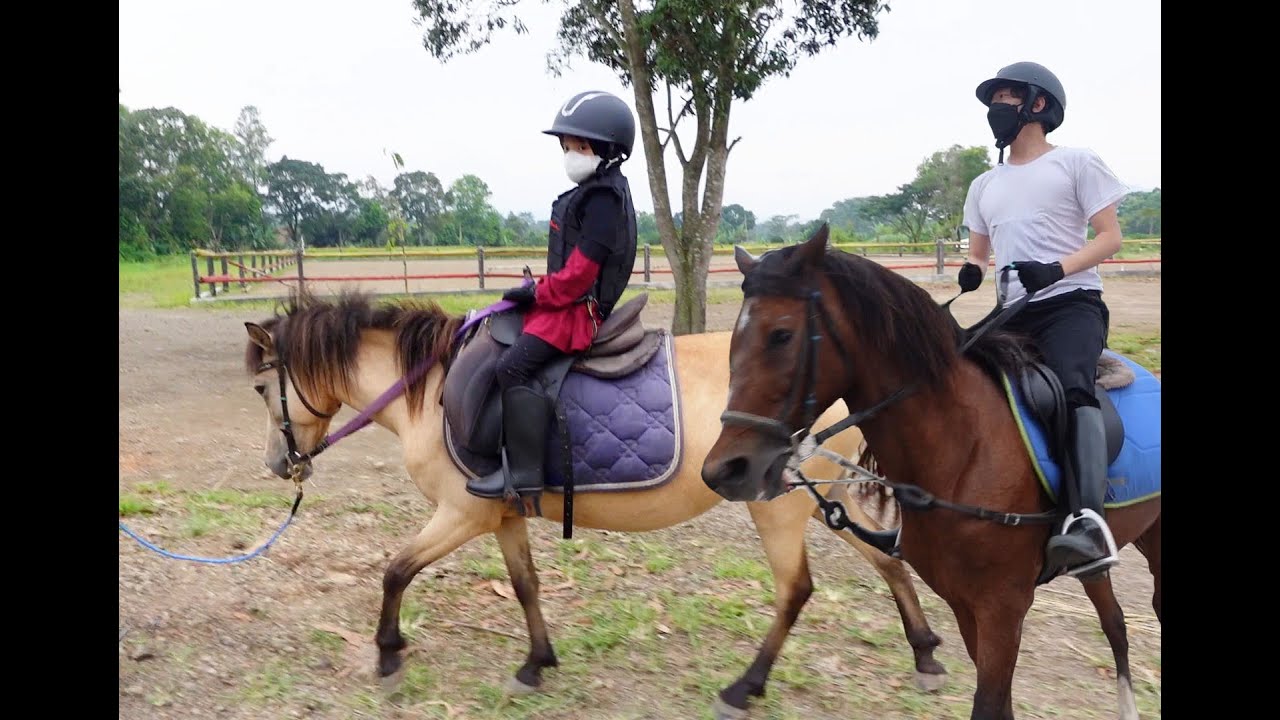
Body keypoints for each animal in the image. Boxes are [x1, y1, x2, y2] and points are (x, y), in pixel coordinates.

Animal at [240, 288, 950, 718]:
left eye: (261, 388)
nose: (278, 465)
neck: (434, 388)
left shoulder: (461, 514)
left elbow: (394, 571)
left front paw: (388, 654)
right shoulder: (501, 516)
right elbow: (525, 585)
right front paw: (535, 664)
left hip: (777, 508)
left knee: (796, 590)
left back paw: (744, 688)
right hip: (825, 501)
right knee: (890, 561)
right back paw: (924, 653)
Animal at [700, 224, 1161, 720]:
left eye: (782, 335)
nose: (725, 470)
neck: (966, 450)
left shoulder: (1003, 607)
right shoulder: (963, 603)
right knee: (1115, 622)